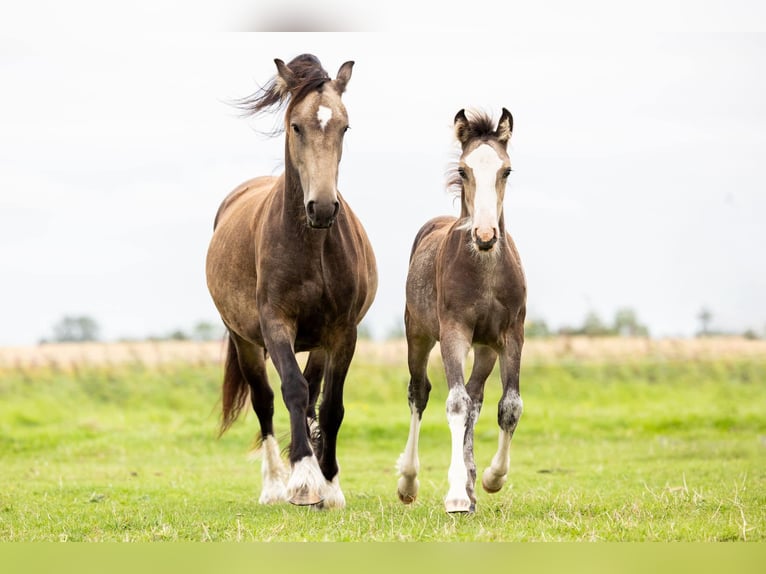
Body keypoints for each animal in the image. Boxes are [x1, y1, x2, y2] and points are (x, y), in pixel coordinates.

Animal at [207, 56, 378, 510]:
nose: (322, 207)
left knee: (315, 397)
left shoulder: (342, 332)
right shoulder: (275, 324)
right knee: (265, 401)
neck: (311, 246)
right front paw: (302, 481)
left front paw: (329, 484)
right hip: (244, 340)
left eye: (345, 127)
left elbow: (330, 405)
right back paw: (273, 485)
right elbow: (292, 392)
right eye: (297, 126)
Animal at [396, 110, 528, 516]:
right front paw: (455, 496)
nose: (485, 235)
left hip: (485, 349)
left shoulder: (511, 335)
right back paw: (409, 481)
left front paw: (490, 479)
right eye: (463, 170)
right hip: (418, 336)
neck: (484, 270)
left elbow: (509, 406)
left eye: (506, 170)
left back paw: (471, 483)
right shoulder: (453, 333)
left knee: (476, 397)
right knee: (420, 392)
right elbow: (455, 403)